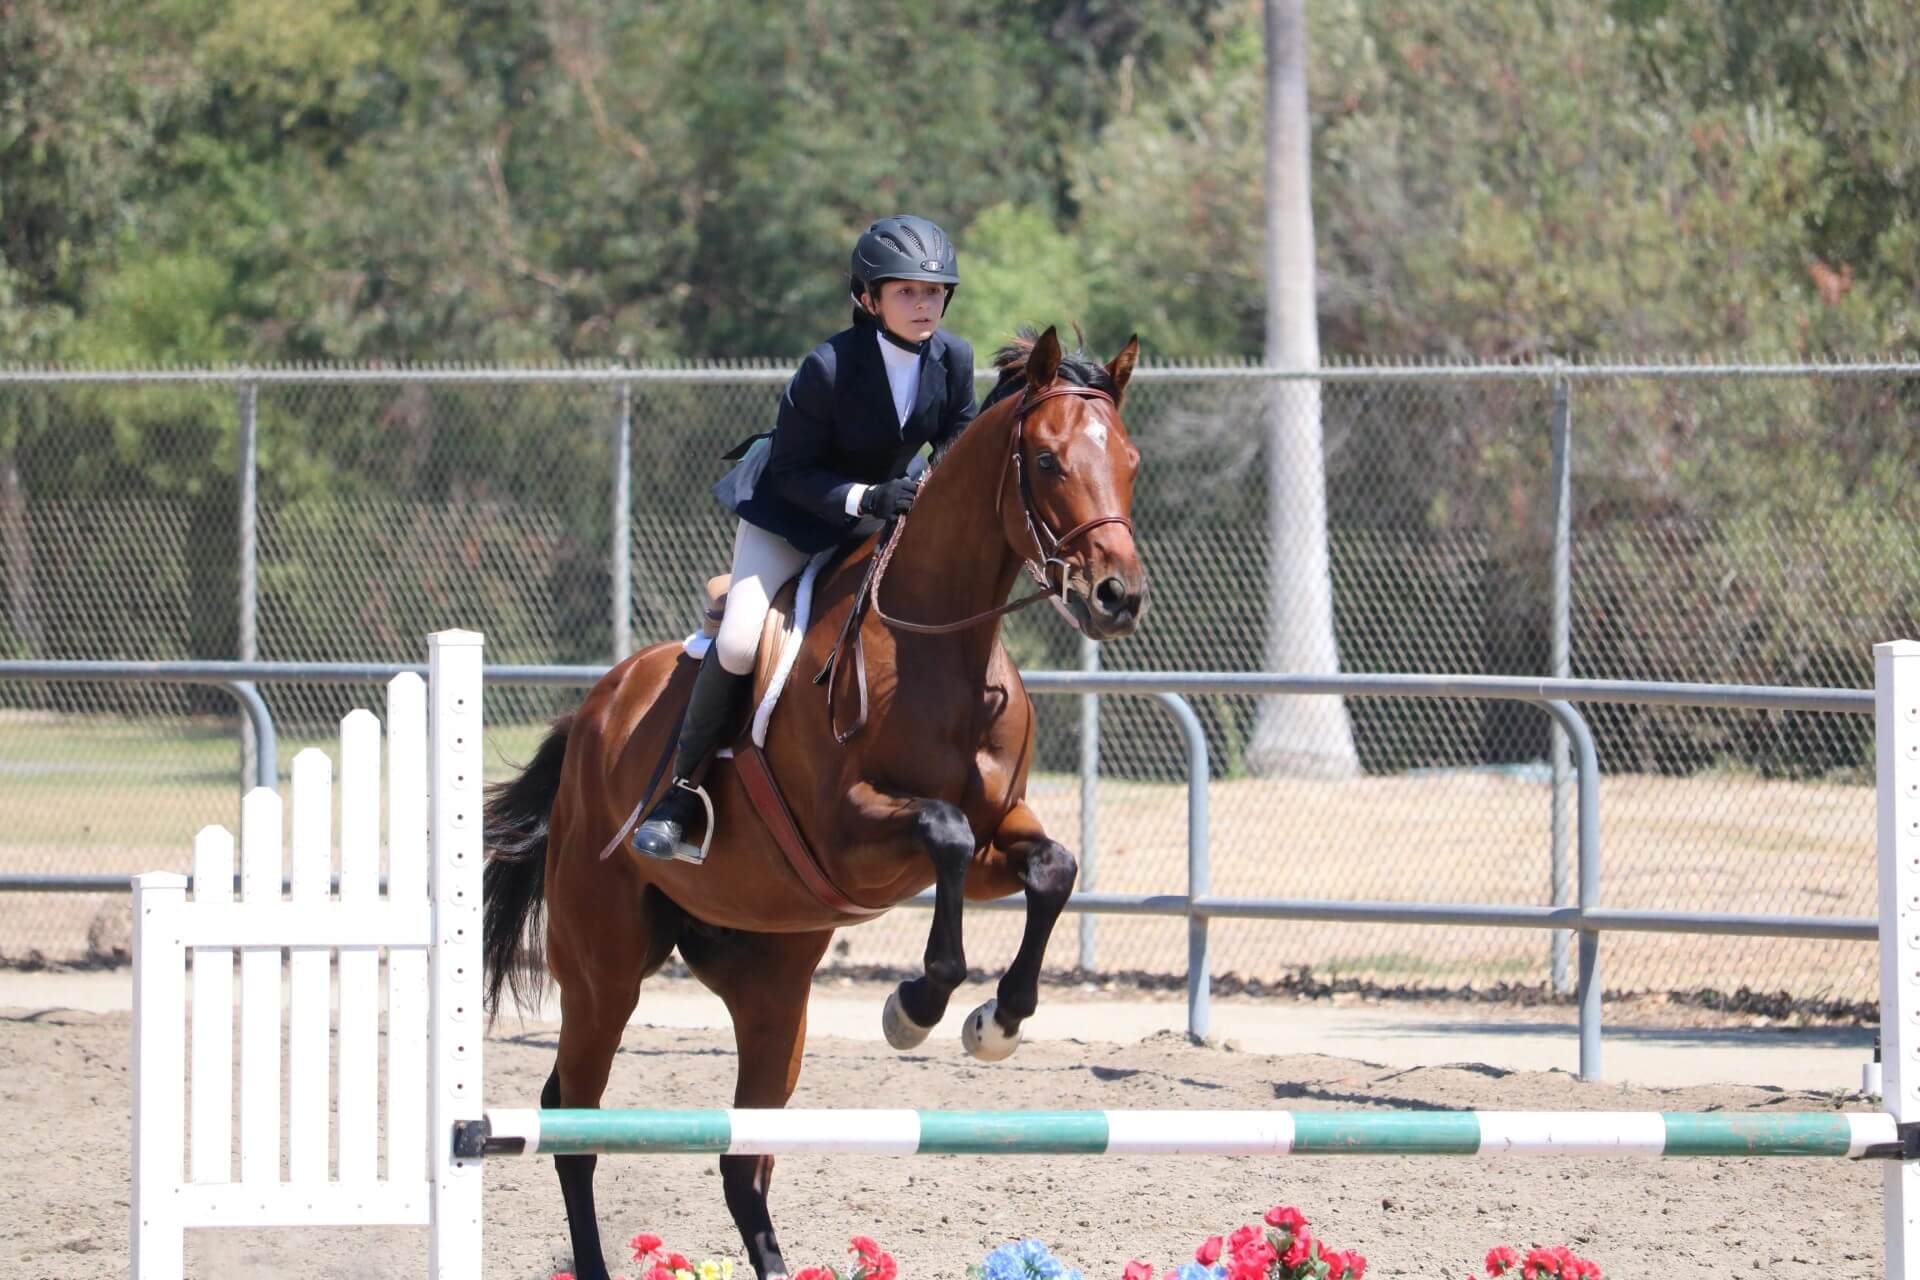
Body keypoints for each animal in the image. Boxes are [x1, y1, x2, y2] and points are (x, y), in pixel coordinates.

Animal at [481, 325, 1148, 1280]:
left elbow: (1052, 867)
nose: (1117, 598)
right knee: (574, 1118)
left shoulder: (998, 838)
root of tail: (594, 712)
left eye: (1130, 462)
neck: (939, 649)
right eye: (1050, 460)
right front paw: (916, 1007)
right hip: (603, 968)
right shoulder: (851, 841)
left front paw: (996, 1021)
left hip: (771, 986)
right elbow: (942, 833)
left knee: (741, 1160)